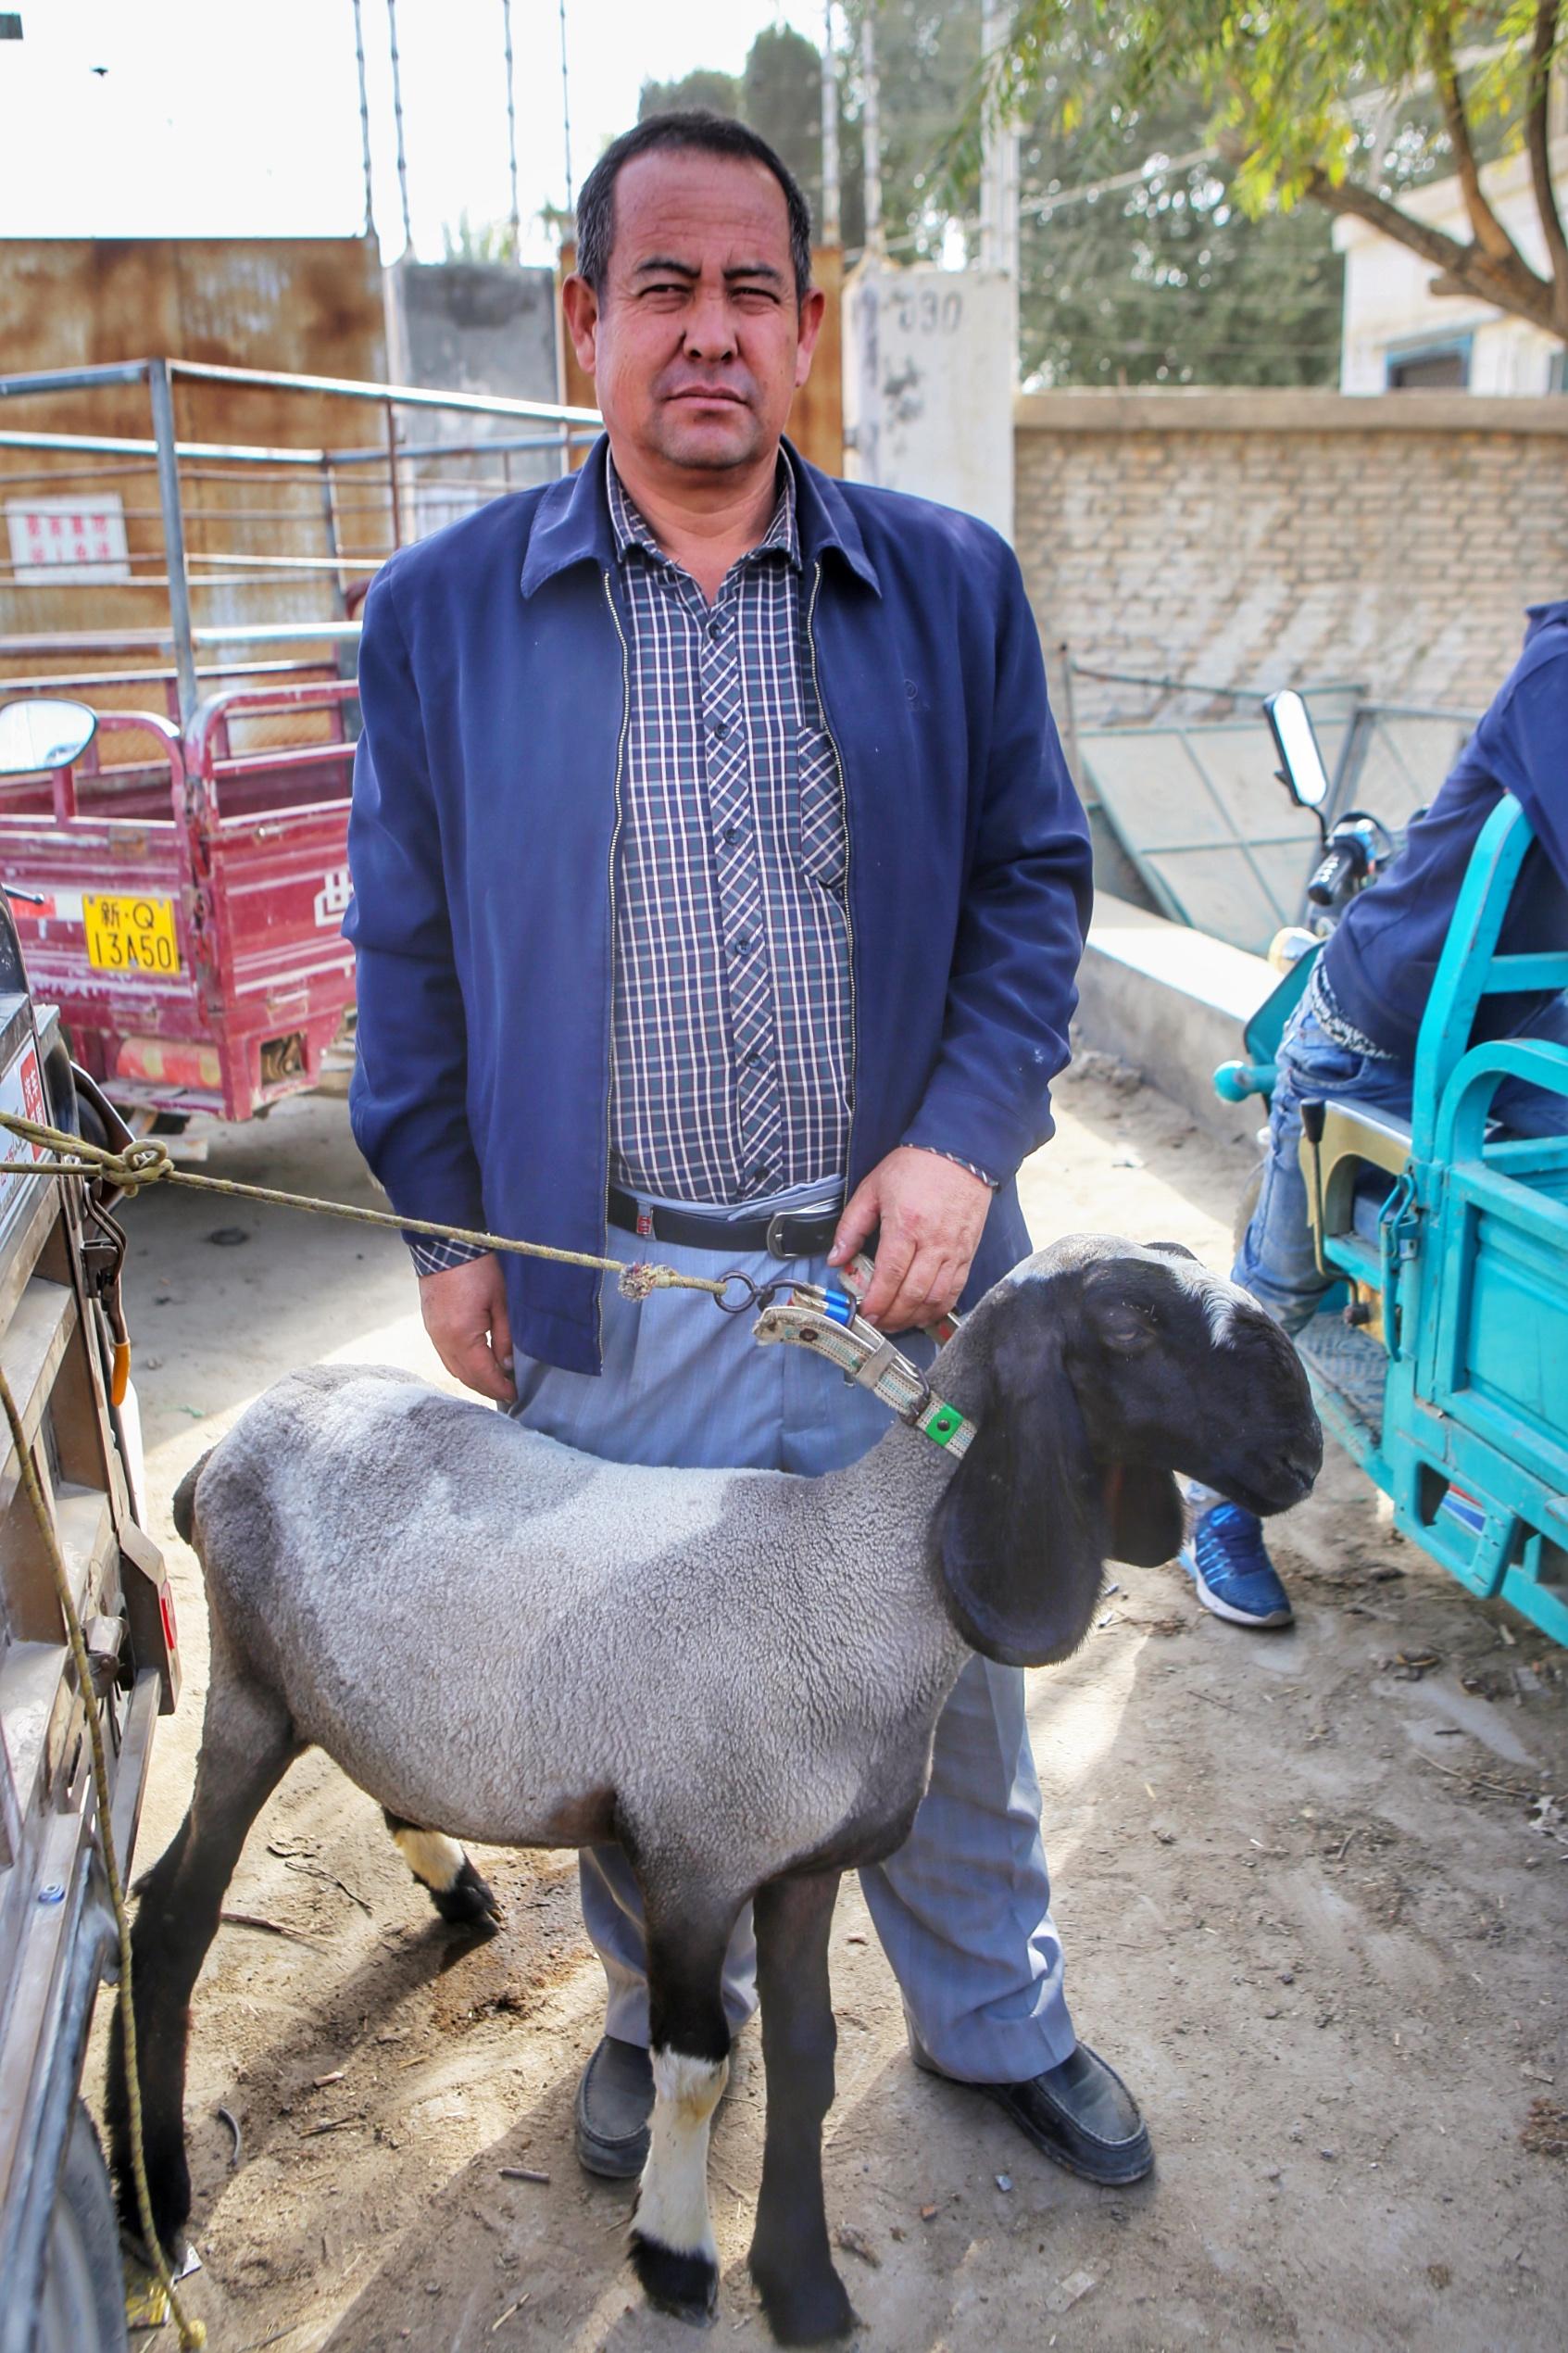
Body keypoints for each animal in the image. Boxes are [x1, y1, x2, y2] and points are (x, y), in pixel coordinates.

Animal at [104, 1242, 1316, 2343]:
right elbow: (695, 2062)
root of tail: (223, 1449)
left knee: (321, 1808)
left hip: (342, 1699)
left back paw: (457, 1894)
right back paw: (152, 2206)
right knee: (166, 1921)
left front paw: (804, 2286)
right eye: (1127, 1320)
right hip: (250, 1695)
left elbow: (808, 2055)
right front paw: (677, 2257)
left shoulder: (803, 1867)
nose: (1300, 1452)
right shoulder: (693, 1857)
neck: (853, 1574)